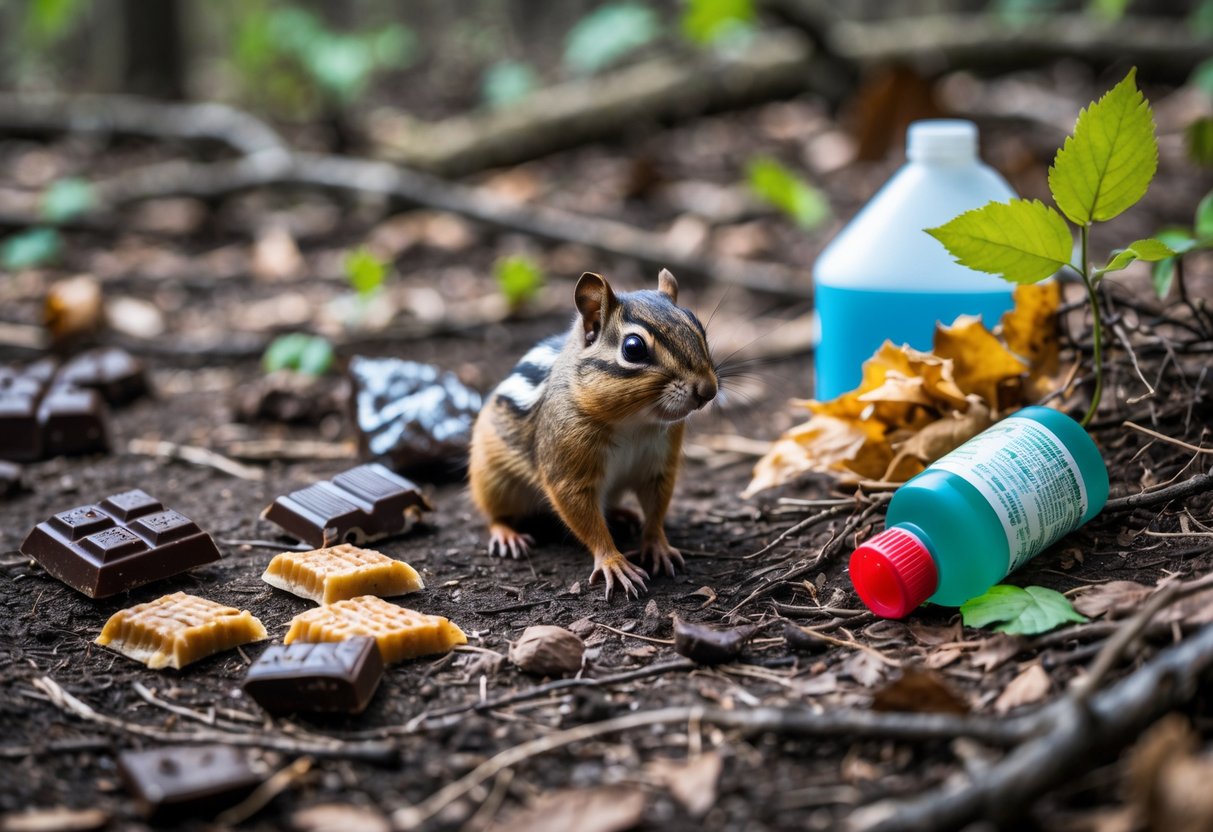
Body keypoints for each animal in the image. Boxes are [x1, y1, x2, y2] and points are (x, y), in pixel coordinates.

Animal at [469, 269, 718, 599]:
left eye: (697, 326)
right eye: (633, 348)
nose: (708, 390)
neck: (634, 423)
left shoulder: (659, 466)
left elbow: (656, 509)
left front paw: (658, 545)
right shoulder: (568, 469)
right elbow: (584, 517)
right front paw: (614, 561)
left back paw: (623, 515)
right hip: (492, 478)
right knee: (494, 514)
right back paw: (507, 533)